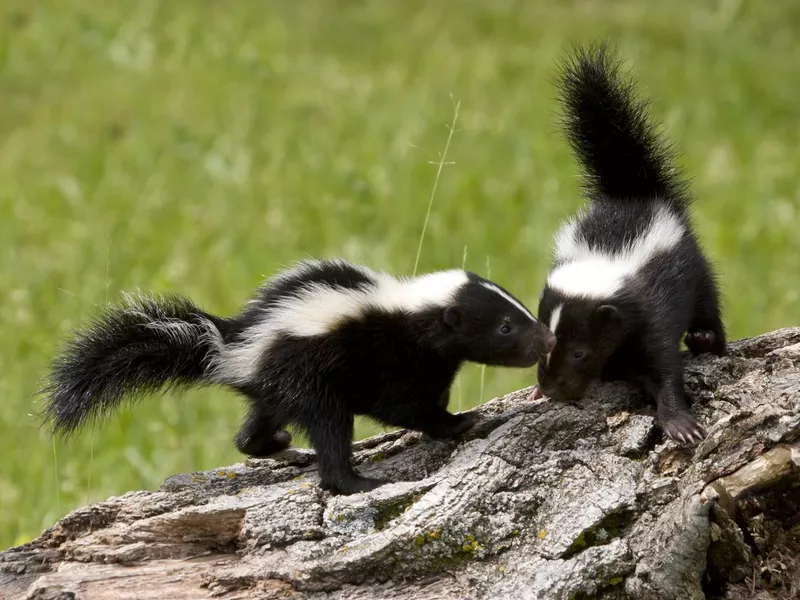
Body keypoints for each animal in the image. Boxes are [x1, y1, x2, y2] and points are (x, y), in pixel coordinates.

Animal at [42, 260, 556, 494]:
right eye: (505, 327)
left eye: (519, 310)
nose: (549, 340)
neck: (410, 311)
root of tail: (231, 348)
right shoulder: (385, 357)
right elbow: (401, 405)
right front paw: (459, 422)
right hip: (306, 377)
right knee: (329, 430)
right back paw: (355, 482)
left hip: (277, 387)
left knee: (252, 430)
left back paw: (280, 447)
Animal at [536, 42, 728, 446]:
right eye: (545, 342)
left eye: (580, 353)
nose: (551, 388)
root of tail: (633, 191)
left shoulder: (652, 311)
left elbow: (664, 366)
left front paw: (680, 423)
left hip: (692, 262)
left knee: (709, 301)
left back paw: (706, 338)